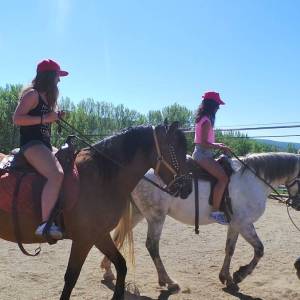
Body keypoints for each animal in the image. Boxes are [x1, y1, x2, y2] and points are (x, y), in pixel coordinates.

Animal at [0, 122, 192, 300]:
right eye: (175, 149)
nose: (188, 187)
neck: (102, 177)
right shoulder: (83, 240)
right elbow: (71, 278)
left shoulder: (99, 235)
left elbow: (121, 265)